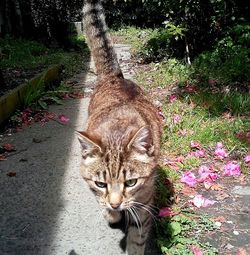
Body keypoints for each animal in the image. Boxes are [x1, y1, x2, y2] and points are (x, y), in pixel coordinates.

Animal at [79, 0, 162, 254]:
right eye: (100, 183)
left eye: (131, 182)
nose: (116, 204)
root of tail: (114, 76)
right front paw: (111, 213)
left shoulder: (144, 203)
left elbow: (137, 238)